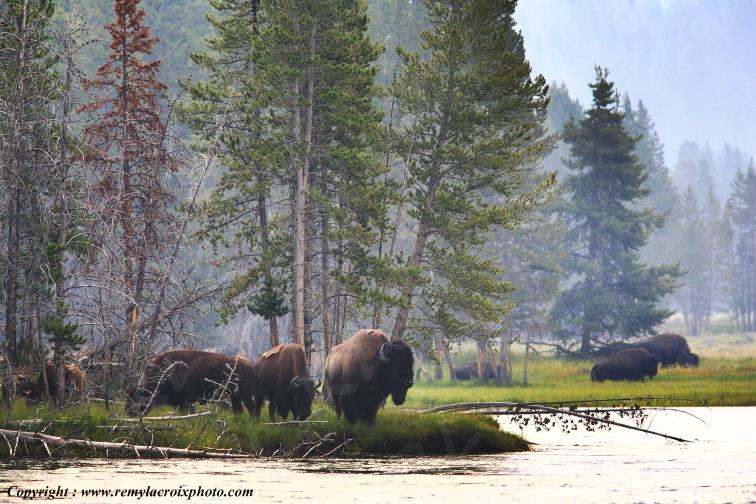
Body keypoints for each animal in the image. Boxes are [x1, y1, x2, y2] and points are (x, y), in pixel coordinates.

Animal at [126, 349, 255, 416]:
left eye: (136, 398)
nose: (128, 413)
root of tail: (250, 364)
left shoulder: (187, 401)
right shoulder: (180, 403)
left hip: (245, 394)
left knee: (251, 408)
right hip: (235, 395)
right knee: (238, 410)